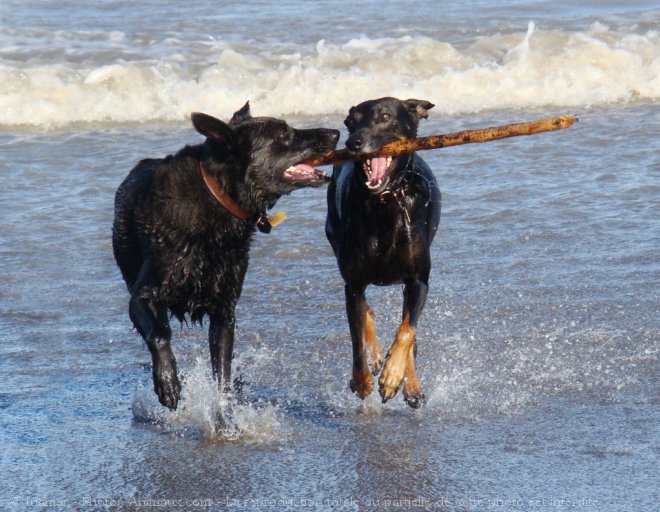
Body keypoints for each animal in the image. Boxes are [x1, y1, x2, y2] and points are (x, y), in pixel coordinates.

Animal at [113, 102, 338, 410]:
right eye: (284, 133)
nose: (336, 132)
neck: (219, 197)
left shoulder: (224, 309)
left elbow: (222, 368)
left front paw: (224, 409)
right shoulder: (142, 296)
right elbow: (159, 334)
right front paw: (168, 382)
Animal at [324, 97, 438, 408]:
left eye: (385, 116)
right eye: (350, 122)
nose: (353, 143)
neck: (384, 202)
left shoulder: (418, 281)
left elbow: (407, 330)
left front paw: (394, 377)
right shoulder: (353, 283)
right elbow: (356, 341)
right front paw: (363, 381)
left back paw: (409, 384)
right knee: (365, 311)